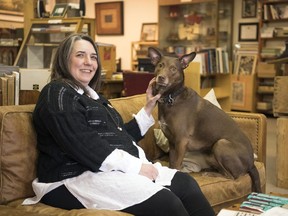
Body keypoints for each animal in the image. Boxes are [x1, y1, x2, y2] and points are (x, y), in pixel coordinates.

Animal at [150, 47, 262, 192]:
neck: (171, 97)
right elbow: (172, 162)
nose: (161, 77)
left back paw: (211, 174)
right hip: (210, 153)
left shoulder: (181, 141)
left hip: (221, 144)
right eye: (160, 65)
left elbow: (176, 164)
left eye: (173, 69)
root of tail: (252, 163)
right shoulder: (172, 142)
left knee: (234, 176)